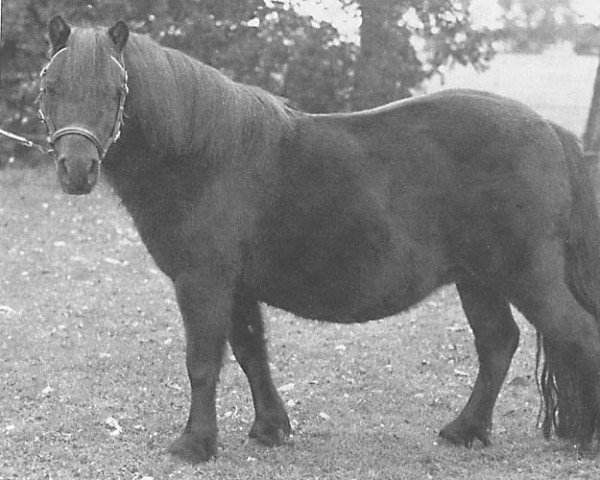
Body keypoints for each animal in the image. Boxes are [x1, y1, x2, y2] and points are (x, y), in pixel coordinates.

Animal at [39, 16, 600, 464]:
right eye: (51, 87)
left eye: (116, 90)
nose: (77, 170)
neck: (200, 155)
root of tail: (550, 132)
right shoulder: (236, 287)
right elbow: (250, 351)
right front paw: (269, 429)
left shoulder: (204, 281)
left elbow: (202, 361)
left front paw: (194, 444)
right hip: (478, 279)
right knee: (497, 344)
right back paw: (464, 431)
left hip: (525, 276)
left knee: (574, 334)